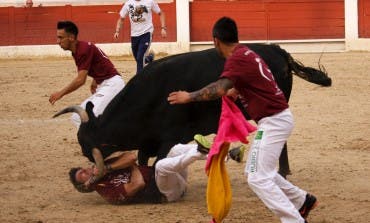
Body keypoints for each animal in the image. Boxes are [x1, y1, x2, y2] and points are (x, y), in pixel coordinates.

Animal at [55, 43, 332, 177]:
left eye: (86, 143)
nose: (87, 156)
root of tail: (277, 50)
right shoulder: (149, 141)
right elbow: (144, 160)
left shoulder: (169, 138)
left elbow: (158, 162)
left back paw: (282, 171)